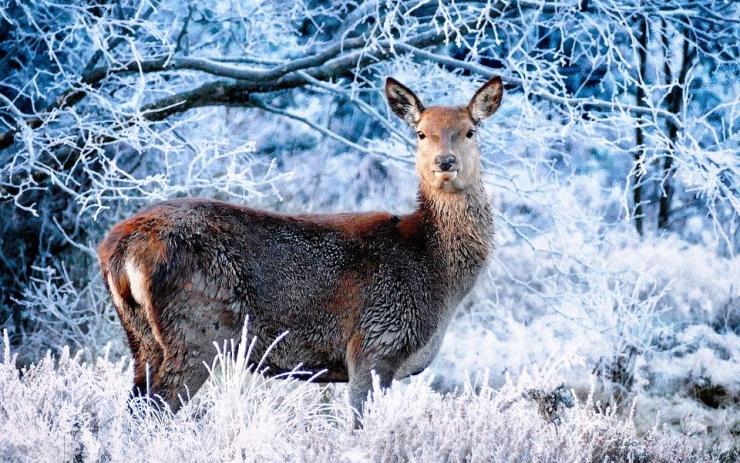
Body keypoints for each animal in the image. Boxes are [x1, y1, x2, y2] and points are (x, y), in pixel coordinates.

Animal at [97, 76, 502, 428]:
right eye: (420, 133)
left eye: (470, 131)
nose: (444, 162)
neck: (435, 271)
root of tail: (117, 249)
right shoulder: (375, 343)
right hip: (196, 330)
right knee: (155, 412)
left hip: (141, 339)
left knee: (134, 408)